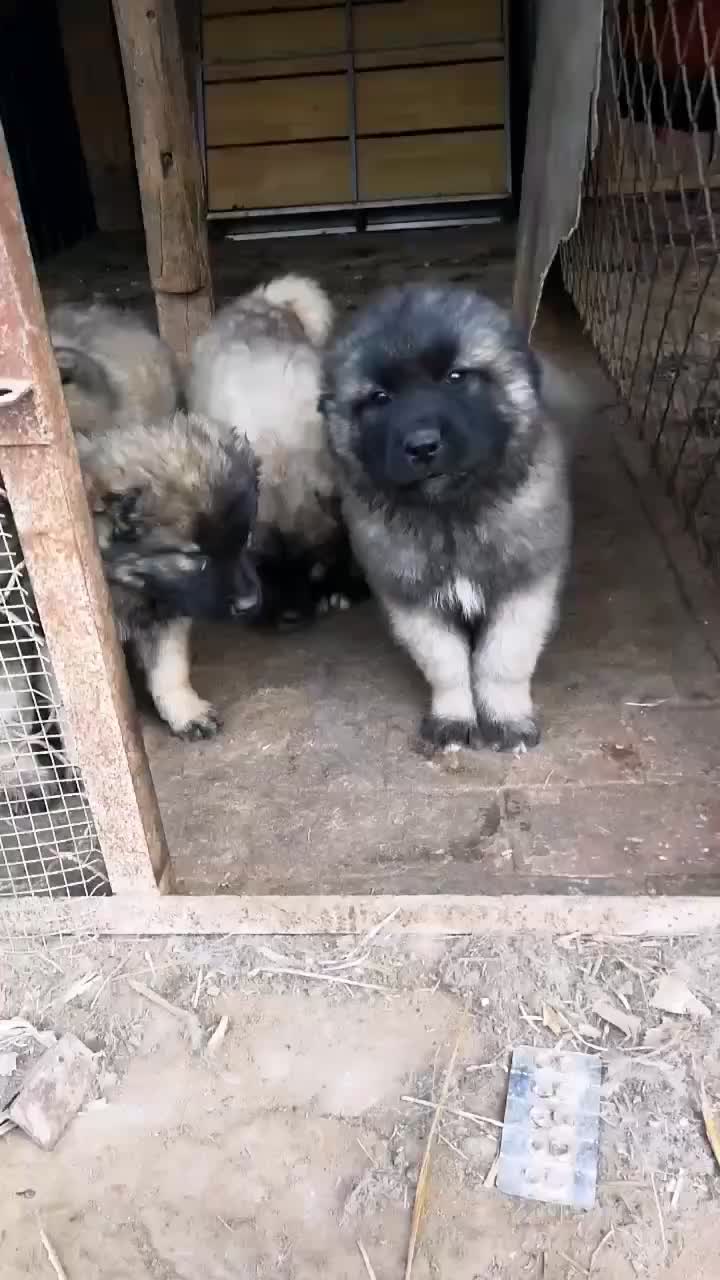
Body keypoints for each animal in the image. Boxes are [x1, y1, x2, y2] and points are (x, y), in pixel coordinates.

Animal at [77, 412, 257, 742]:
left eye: (246, 538)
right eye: (196, 556)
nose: (249, 604)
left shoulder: (166, 611)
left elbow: (169, 668)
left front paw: (186, 712)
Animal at [185, 275, 363, 624]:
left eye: (313, 569)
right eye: (263, 571)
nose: (289, 618)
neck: (281, 454)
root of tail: (258, 299)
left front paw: (339, 589)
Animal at [322, 285, 568, 752]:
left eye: (456, 377)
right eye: (380, 398)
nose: (421, 446)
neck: (451, 514)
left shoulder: (525, 586)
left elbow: (503, 659)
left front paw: (507, 719)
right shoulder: (413, 597)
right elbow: (445, 664)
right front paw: (453, 718)